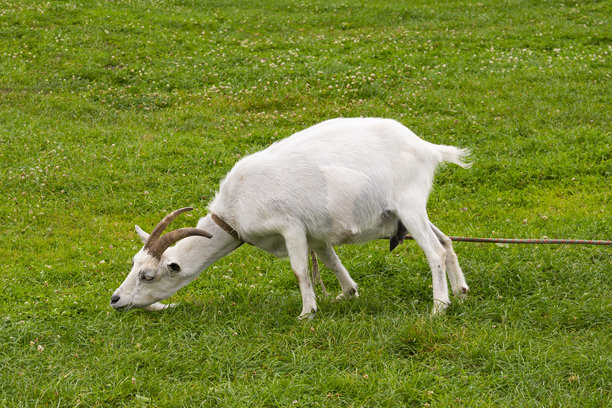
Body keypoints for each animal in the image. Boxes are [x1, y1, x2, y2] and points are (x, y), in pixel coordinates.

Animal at [110, 116, 470, 318]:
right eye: (134, 264)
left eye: (148, 276)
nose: (115, 299)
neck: (235, 208)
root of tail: (428, 148)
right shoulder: (317, 234)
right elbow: (330, 261)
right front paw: (347, 293)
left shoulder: (290, 226)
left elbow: (300, 270)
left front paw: (307, 312)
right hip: (408, 210)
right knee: (446, 241)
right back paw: (461, 290)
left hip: (409, 204)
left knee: (433, 251)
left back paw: (439, 307)